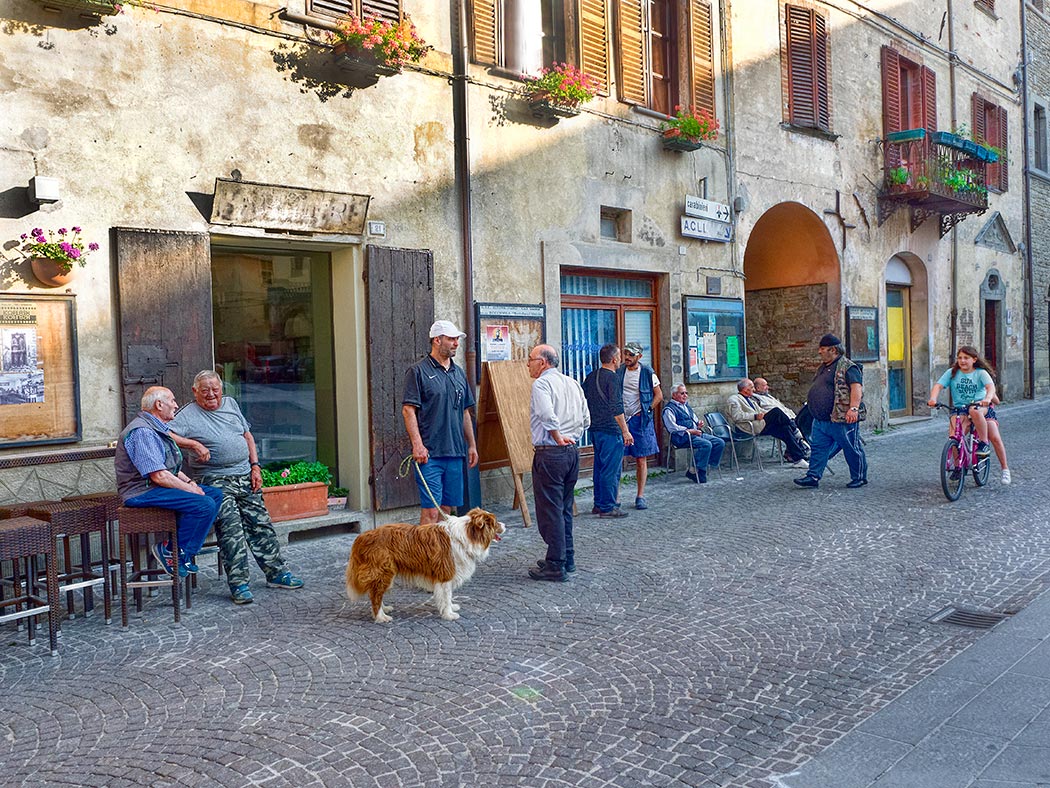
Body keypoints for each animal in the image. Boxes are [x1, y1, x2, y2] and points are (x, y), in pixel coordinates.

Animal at [346, 508, 506, 626]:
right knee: (375, 595)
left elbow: (448, 596)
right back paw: (380, 616)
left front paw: (450, 607)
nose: (505, 526)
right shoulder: (446, 573)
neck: (467, 535)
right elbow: (446, 596)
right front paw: (449, 614)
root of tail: (362, 537)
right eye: (495, 522)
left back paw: (384, 609)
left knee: (375, 592)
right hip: (384, 571)